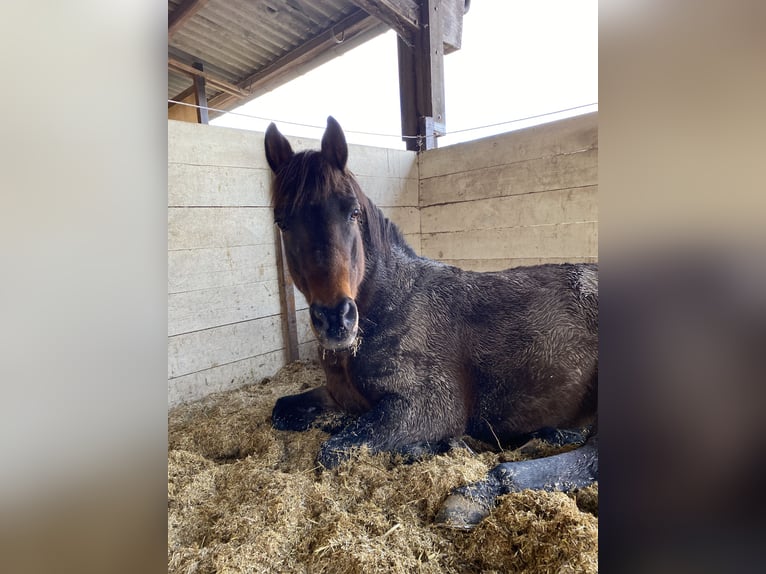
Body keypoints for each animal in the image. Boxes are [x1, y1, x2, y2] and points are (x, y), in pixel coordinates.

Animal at [264, 116, 600, 532]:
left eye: (352, 212)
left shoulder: (426, 405)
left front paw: (434, 445)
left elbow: (334, 448)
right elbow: (285, 410)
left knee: (590, 458)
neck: (391, 307)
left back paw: (473, 495)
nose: (336, 319)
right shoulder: (342, 396)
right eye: (282, 221)